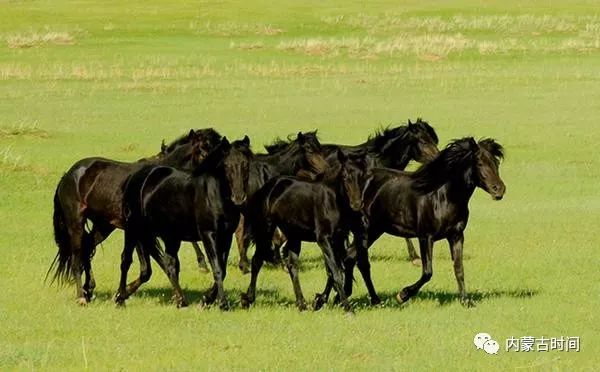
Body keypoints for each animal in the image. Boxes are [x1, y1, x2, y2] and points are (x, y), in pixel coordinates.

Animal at [47, 129, 220, 304]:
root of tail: (68, 175)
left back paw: (89, 289)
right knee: (77, 256)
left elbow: (160, 266)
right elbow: (152, 268)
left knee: (87, 246)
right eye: (203, 152)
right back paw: (81, 297)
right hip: (76, 222)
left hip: (104, 226)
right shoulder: (143, 233)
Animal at [115, 137, 253, 308]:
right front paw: (222, 303)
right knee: (126, 260)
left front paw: (206, 299)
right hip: (133, 228)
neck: (213, 195)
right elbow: (217, 269)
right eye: (227, 165)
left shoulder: (226, 236)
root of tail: (134, 178)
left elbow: (223, 268)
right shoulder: (208, 234)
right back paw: (120, 297)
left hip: (168, 236)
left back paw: (181, 300)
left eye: (245, 164)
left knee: (170, 264)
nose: (239, 197)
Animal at [239, 150, 370, 312]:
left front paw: (319, 301)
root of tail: (268, 187)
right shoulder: (323, 239)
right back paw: (248, 299)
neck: (332, 200)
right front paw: (347, 308)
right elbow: (336, 272)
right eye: (345, 176)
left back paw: (301, 303)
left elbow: (334, 271)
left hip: (294, 235)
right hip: (266, 229)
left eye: (363, 176)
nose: (357, 204)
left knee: (292, 265)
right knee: (257, 260)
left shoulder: (338, 239)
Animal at [316, 137, 504, 308]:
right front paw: (403, 295)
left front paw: (466, 301)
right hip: (364, 231)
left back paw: (347, 298)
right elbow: (427, 272)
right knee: (346, 260)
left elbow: (459, 269)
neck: (442, 196)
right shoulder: (425, 237)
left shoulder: (456, 236)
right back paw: (324, 299)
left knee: (350, 258)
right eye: (479, 163)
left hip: (373, 231)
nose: (500, 190)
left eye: (496, 162)